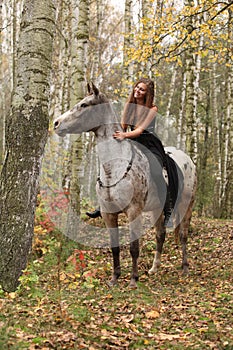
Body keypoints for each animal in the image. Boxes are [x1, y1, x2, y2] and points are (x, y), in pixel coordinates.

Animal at [53, 83, 197, 288]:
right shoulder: (108, 213)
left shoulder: (133, 211)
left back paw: (184, 268)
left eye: (84, 105)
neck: (115, 167)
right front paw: (115, 278)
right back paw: (154, 268)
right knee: (160, 234)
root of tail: (187, 159)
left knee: (183, 235)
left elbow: (134, 247)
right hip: (157, 209)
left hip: (186, 205)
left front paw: (133, 280)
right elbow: (115, 247)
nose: (56, 123)